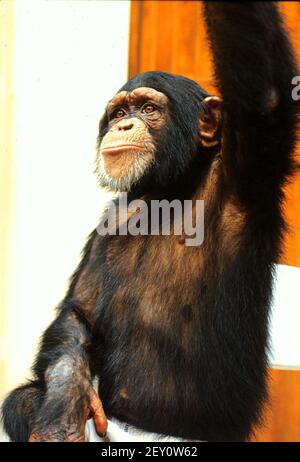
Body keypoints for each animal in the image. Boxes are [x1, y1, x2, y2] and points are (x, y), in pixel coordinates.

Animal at [1, 0, 298, 440]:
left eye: (148, 109)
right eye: (120, 111)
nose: (124, 124)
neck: (169, 189)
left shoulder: (246, 167)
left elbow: (267, 96)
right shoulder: (108, 223)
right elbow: (79, 311)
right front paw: (65, 403)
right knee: (21, 399)